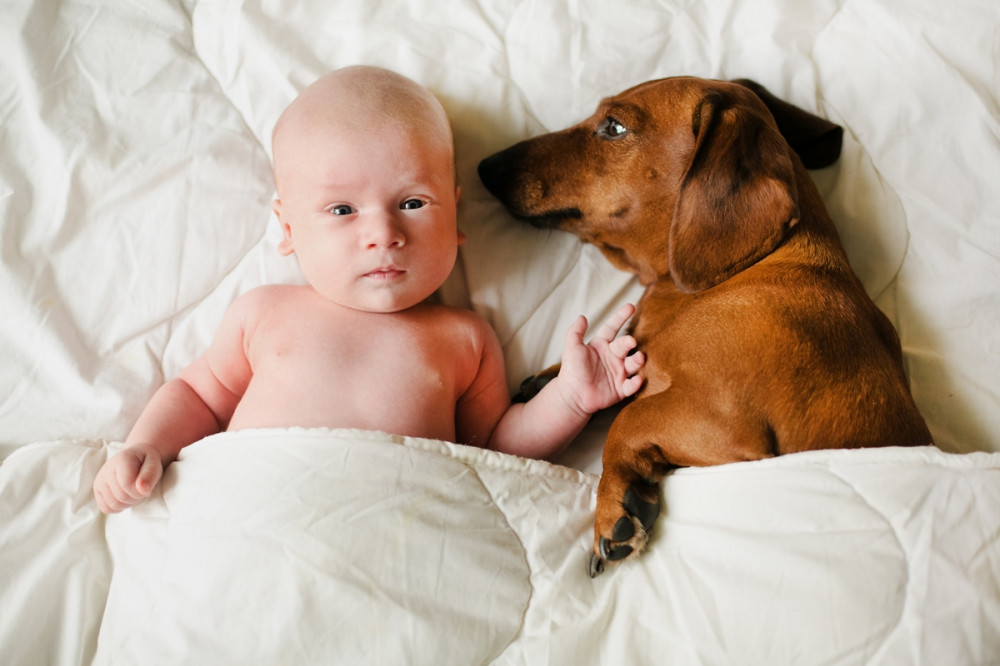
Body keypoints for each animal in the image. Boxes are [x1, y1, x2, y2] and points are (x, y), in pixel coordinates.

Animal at [476, 79, 928, 576]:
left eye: (614, 127)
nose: (486, 166)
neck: (745, 272)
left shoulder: (727, 421)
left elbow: (631, 417)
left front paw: (615, 499)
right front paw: (564, 376)